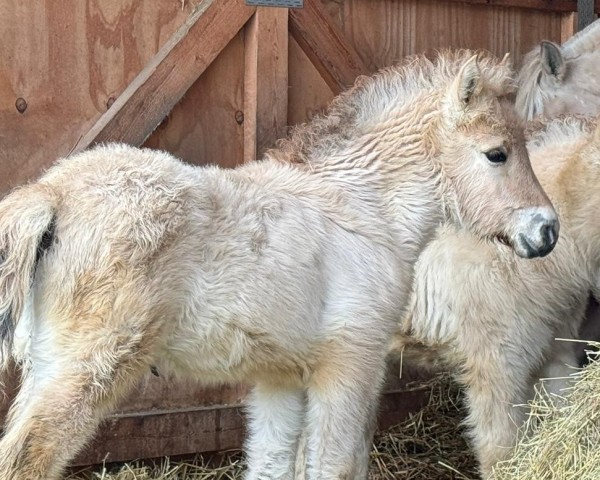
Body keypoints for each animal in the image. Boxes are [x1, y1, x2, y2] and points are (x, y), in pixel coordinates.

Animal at [0, 49, 556, 480]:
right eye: (497, 153)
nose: (546, 231)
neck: (362, 205)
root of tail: (53, 193)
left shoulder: (281, 376)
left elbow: (272, 462)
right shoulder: (350, 363)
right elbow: (335, 465)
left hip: (47, 364)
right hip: (87, 367)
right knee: (29, 456)